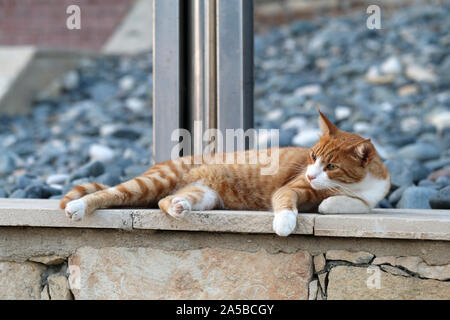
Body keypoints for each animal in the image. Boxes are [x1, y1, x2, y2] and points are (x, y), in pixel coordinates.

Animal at [60, 111, 390, 236]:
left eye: (331, 166)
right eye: (312, 157)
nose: (311, 175)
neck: (358, 185)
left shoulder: (371, 197)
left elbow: (357, 205)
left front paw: (331, 202)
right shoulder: (289, 188)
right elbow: (286, 203)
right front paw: (284, 223)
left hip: (204, 194)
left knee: (165, 201)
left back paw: (179, 206)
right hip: (153, 181)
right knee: (109, 193)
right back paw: (77, 207)